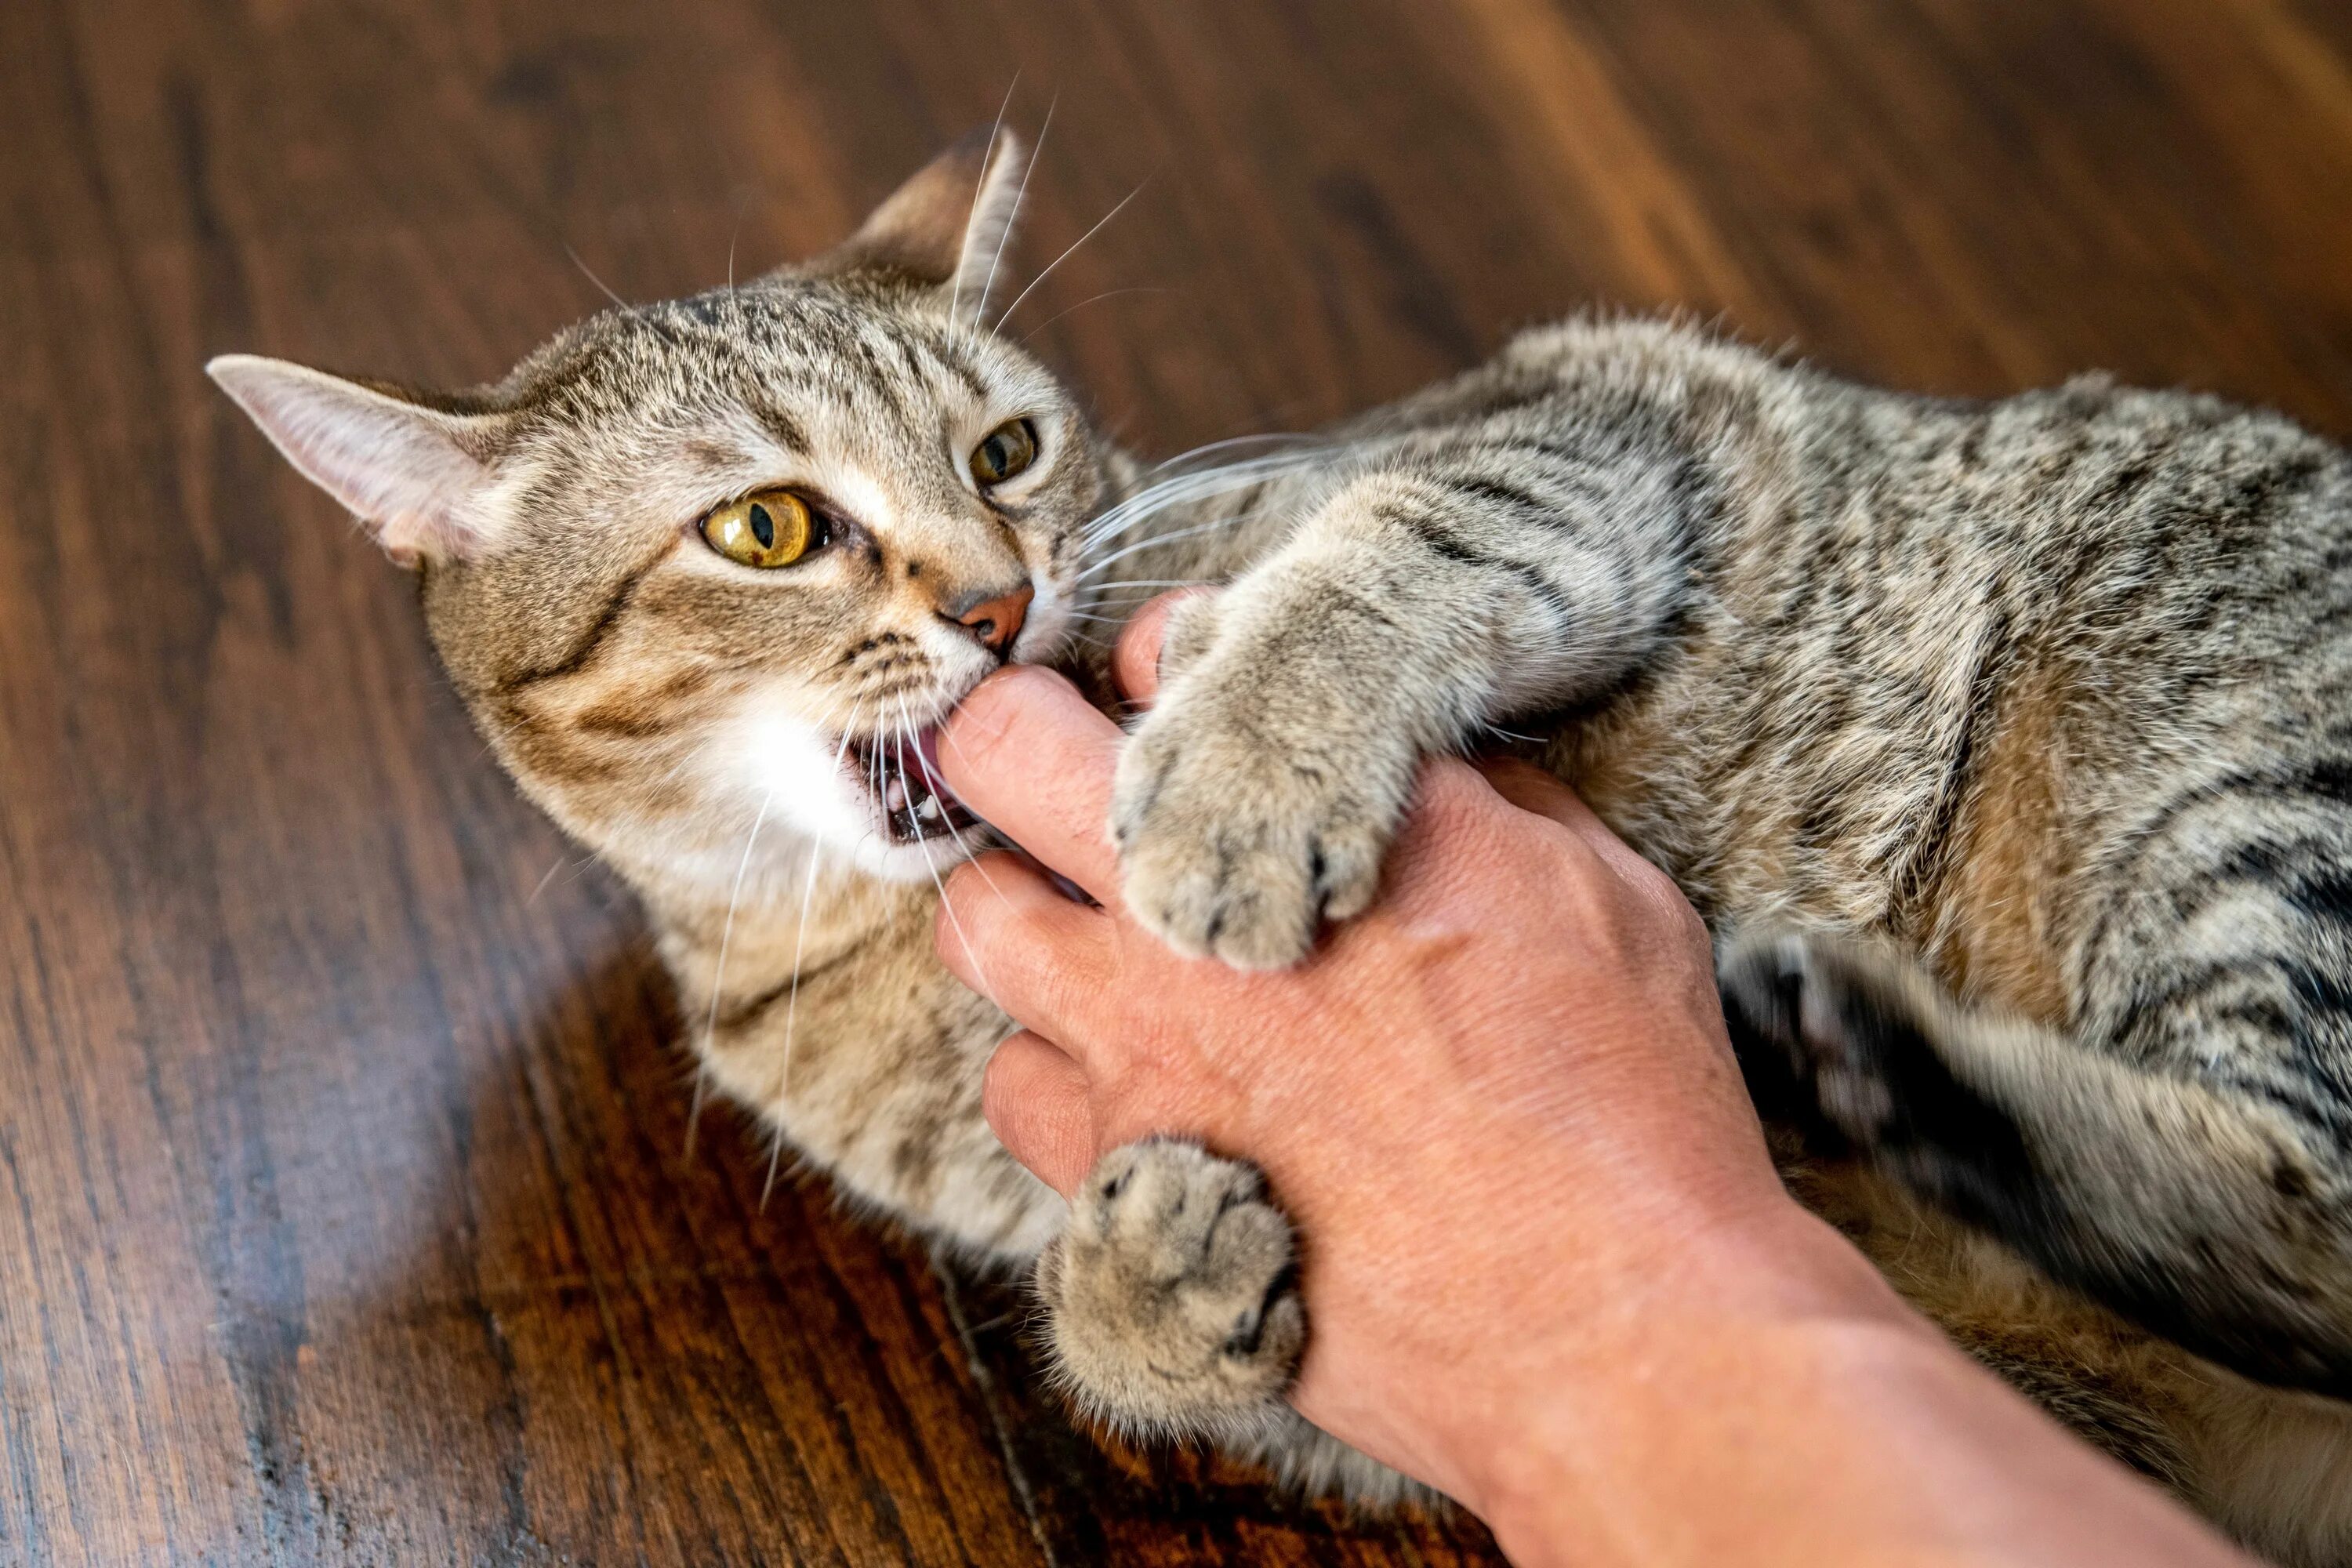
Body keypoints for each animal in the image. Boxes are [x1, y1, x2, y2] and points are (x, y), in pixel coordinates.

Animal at [212, 138, 2352, 1568]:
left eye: (1004, 455)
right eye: (765, 530)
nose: (999, 601)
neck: (863, 953)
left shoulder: (1591, 423)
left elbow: (1384, 548)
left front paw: (1234, 780)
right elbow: (1166, 1344)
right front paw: (1139, 1281)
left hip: (2229, 770)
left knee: (2313, 1207)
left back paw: (1864, 1045)